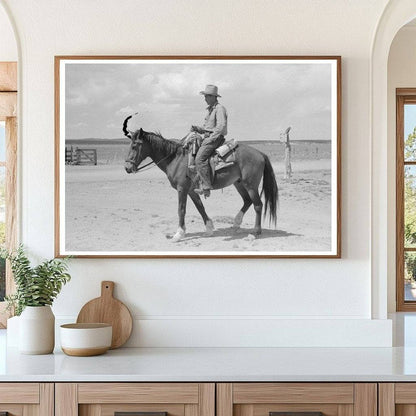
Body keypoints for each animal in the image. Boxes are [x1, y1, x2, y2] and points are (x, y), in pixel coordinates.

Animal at [123, 115, 280, 242]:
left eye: (135, 145)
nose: (127, 168)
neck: (175, 158)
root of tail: (260, 153)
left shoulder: (182, 189)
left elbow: (181, 209)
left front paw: (178, 234)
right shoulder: (192, 190)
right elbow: (200, 208)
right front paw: (209, 229)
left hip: (251, 185)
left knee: (258, 205)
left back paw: (255, 232)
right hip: (239, 183)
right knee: (247, 201)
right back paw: (236, 224)